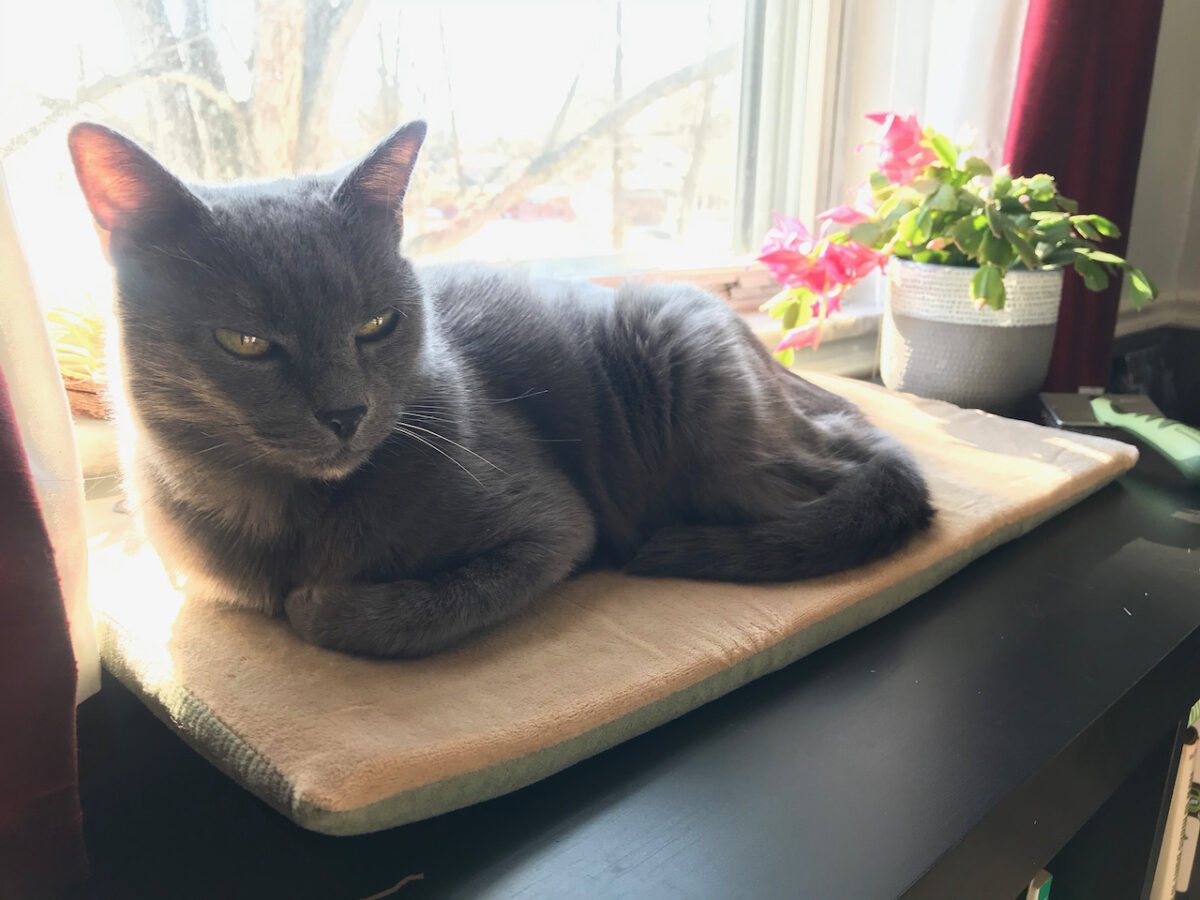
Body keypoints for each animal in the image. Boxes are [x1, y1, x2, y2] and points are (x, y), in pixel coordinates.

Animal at [65, 120, 931, 657]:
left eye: (377, 324)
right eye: (247, 342)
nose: (347, 413)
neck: (287, 517)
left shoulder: (554, 528)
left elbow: (415, 607)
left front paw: (318, 604)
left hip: (700, 392)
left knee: (856, 478)